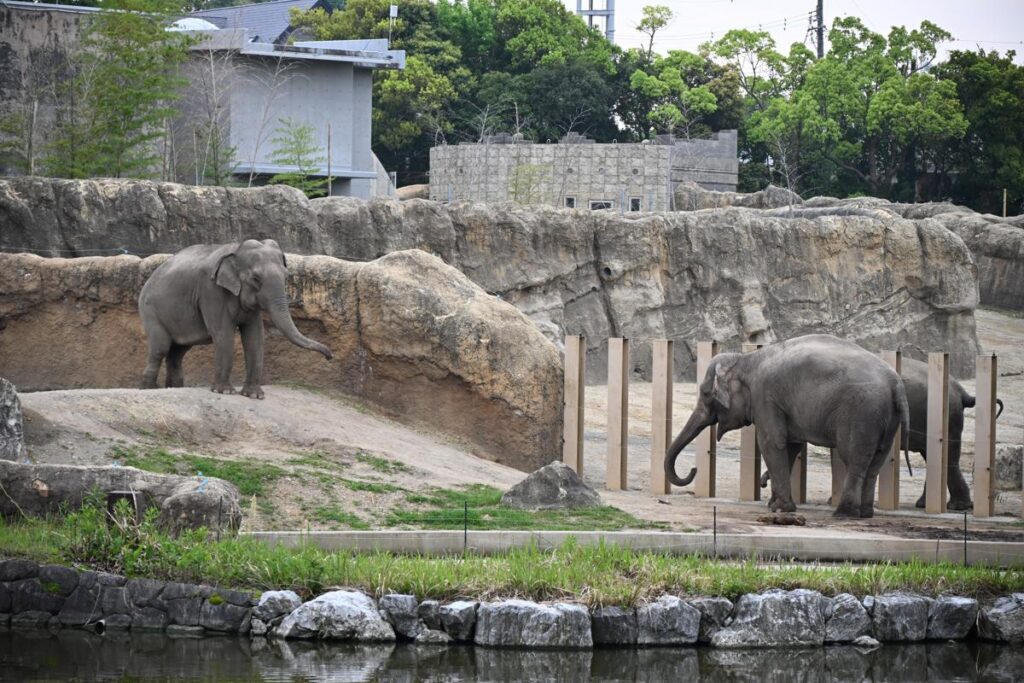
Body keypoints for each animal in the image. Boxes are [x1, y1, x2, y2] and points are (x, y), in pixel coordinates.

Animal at [139, 239, 333, 398]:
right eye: (256, 278)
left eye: (286, 276)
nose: (330, 356)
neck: (236, 249)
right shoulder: (211, 290)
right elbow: (223, 333)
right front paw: (224, 392)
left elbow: (255, 335)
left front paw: (254, 395)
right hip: (151, 311)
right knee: (160, 349)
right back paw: (148, 389)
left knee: (177, 353)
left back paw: (174, 388)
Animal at [665, 334, 909, 518]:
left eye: (706, 394)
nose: (693, 470)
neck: (746, 359)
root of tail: (896, 383)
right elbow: (790, 446)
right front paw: (775, 506)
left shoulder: (765, 397)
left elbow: (771, 443)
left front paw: (781, 509)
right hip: (886, 419)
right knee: (877, 461)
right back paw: (865, 514)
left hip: (861, 414)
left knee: (854, 459)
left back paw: (843, 514)